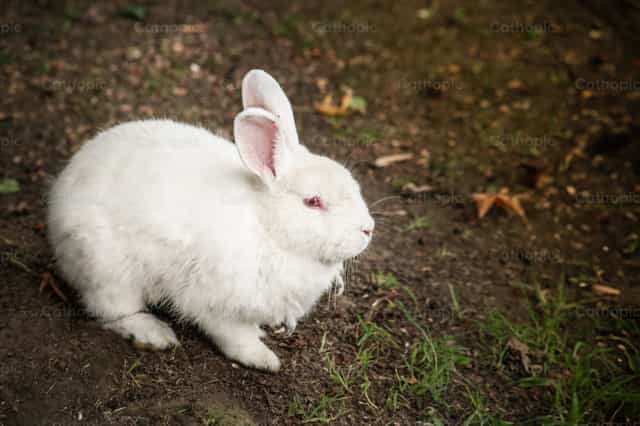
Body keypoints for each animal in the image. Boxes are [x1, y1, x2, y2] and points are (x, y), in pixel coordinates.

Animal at [47, 69, 374, 372]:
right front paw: (263, 359)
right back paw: (154, 334)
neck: (266, 227)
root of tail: (57, 203)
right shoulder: (216, 301)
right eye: (313, 202)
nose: (368, 229)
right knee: (111, 311)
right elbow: (233, 335)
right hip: (109, 271)